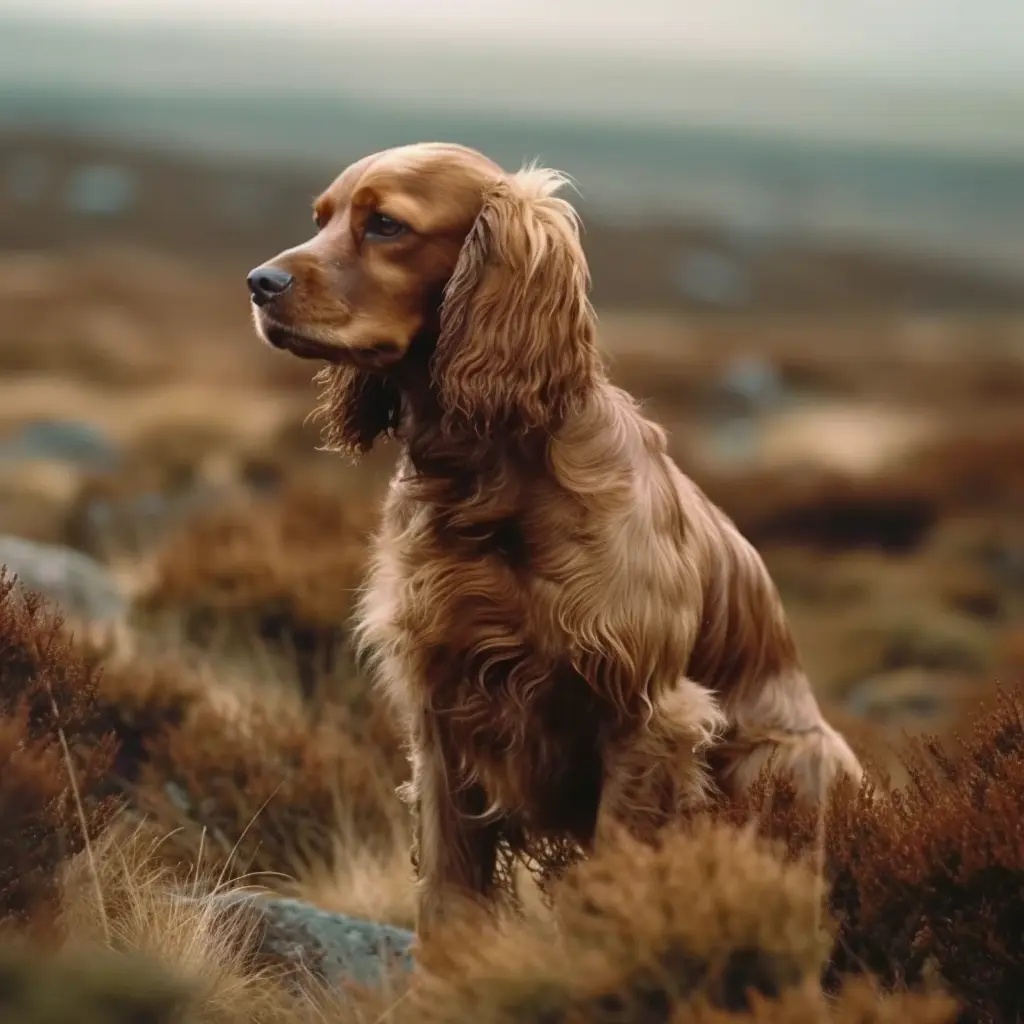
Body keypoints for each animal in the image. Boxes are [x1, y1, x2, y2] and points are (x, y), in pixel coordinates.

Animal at [247, 140, 864, 937]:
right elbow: (448, 892)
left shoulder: (648, 718)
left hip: (787, 758)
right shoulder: (442, 711)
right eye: (320, 217)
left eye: (386, 224)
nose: (260, 283)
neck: (494, 484)